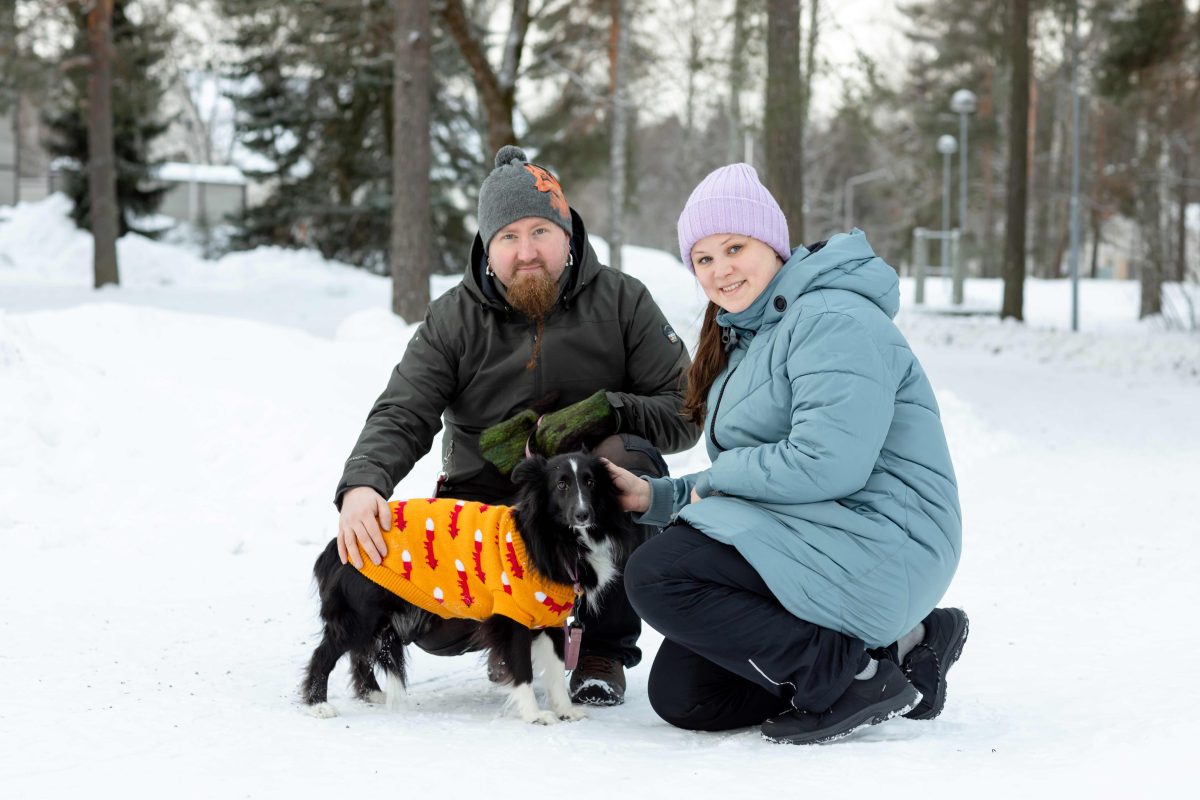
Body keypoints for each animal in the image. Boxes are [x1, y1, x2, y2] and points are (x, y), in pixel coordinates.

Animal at [302, 453, 638, 724]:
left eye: (591, 482)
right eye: (561, 485)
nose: (583, 514)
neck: (557, 537)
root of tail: (339, 543)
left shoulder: (552, 617)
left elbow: (556, 669)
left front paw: (565, 710)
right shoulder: (512, 616)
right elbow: (523, 669)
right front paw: (534, 715)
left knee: (360, 652)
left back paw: (372, 693)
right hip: (362, 612)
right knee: (327, 653)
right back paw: (318, 704)